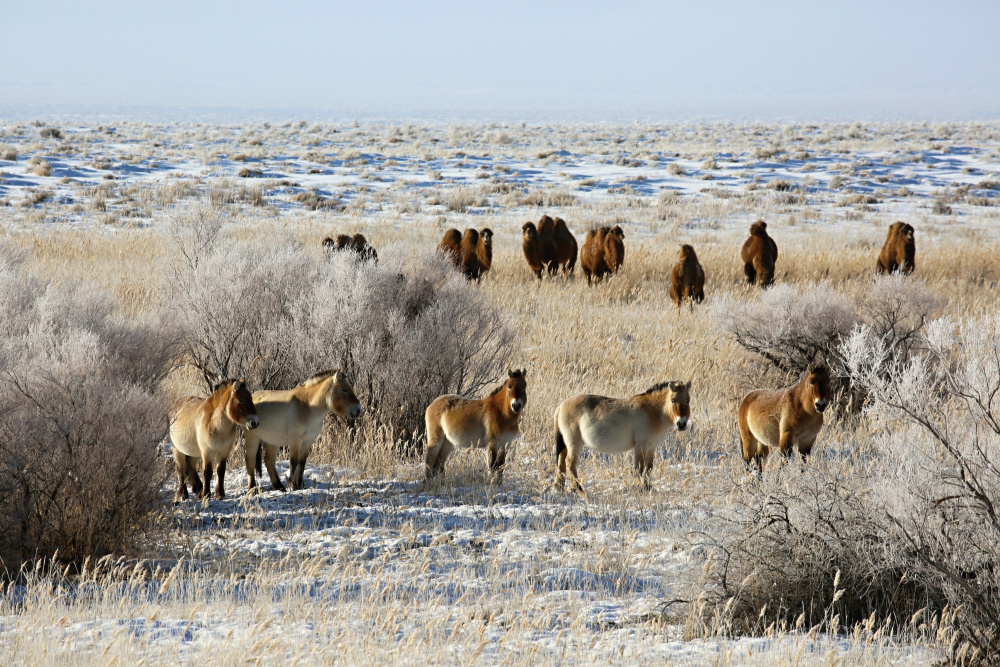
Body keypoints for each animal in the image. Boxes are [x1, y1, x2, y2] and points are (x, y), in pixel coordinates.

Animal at [552, 380, 692, 496]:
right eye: (673, 400)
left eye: (688, 400)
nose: (681, 424)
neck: (653, 412)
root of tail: (561, 406)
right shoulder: (640, 445)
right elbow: (639, 468)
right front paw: (640, 487)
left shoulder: (651, 446)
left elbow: (648, 468)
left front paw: (648, 487)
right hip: (574, 443)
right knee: (570, 463)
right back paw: (578, 488)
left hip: (566, 444)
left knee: (561, 461)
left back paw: (559, 487)